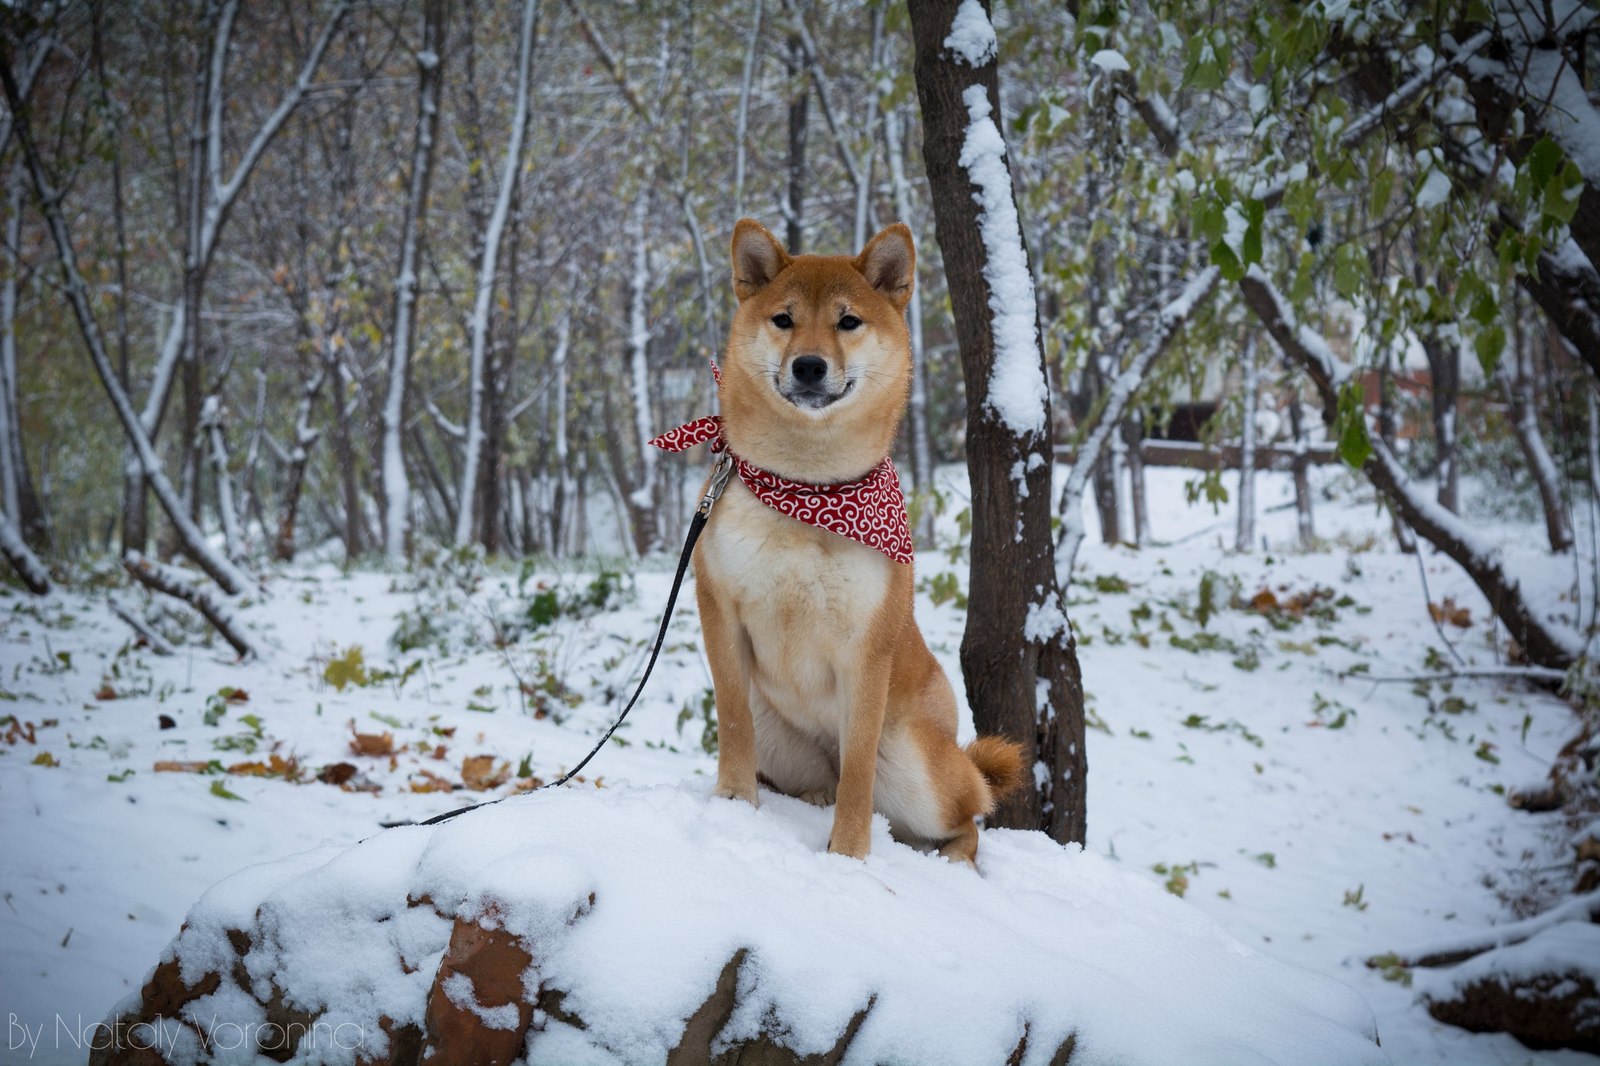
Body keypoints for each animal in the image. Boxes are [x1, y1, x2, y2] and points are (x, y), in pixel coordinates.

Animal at [688, 217, 1024, 864]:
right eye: (784, 319)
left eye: (848, 322)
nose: (809, 366)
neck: (807, 490)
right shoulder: (722, 613)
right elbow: (733, 723)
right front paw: (734, 807)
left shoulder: (866, 648)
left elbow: (859, 773)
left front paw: (847, 857)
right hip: (783, 741)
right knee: (813, 776)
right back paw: (810, 797)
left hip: (917, 772)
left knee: (968, 817)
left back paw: (951, 858)